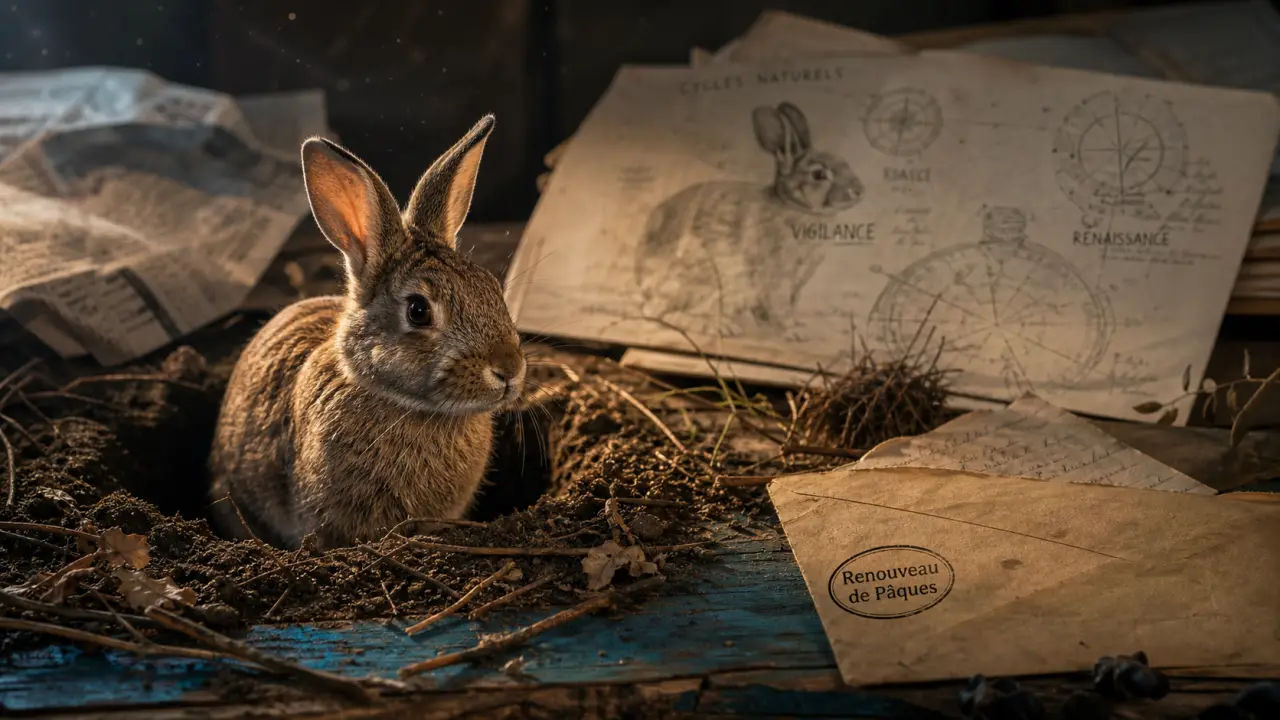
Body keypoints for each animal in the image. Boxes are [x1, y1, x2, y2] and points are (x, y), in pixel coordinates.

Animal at [635, 102, 864, 337]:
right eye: (819, 175)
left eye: (845, 163)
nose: (858, 190)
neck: (797, 207)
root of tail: (643, 282)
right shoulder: (777, 275)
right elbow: (780, 304)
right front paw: (792, 332)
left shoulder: (797, 282)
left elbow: (787, 304)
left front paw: (789, 324)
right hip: (703, 278)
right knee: (659, 312)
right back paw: (721, 327)